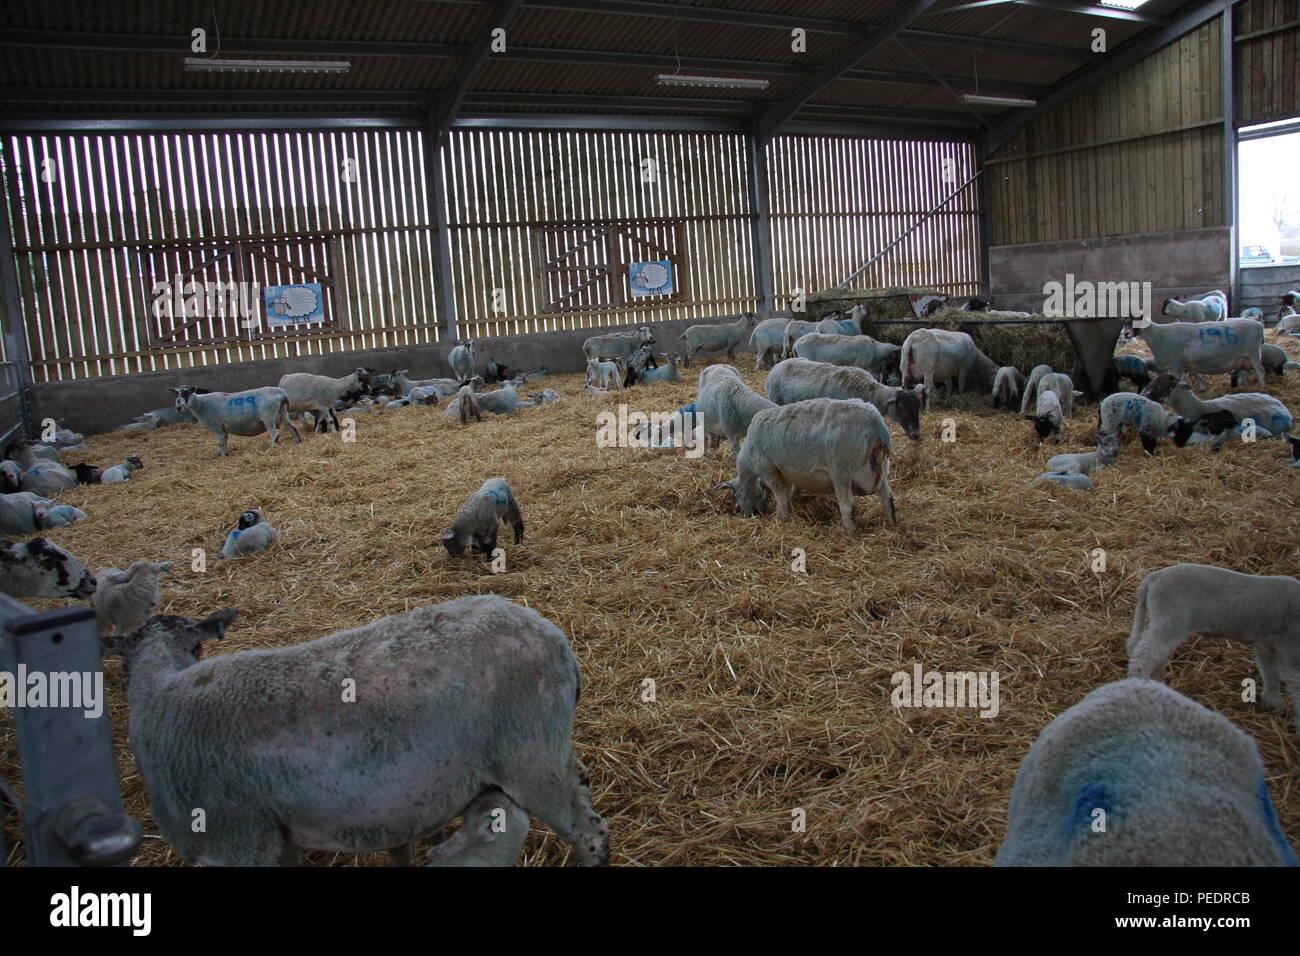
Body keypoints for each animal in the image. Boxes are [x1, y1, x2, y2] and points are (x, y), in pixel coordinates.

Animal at [98, 594, 608, 866]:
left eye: (197, 647)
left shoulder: (235, 843)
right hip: (544, 752)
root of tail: (554, 637)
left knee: (589, 830)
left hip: (531, 760)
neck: (159, 697)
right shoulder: (274, 841)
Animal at [171, 386, 302, 457]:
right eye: (176, 394)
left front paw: (223, 456)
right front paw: (226, 454)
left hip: (268, 417)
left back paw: (273, 448)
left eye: (186, 392)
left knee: (275, 434)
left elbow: (220, 442)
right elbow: (224, 440)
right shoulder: (223, 428)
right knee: (292, 428)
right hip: (283, 411)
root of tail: (281, 393)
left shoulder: (216, 426)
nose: (178, 407)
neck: (201, 404)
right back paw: (298, 443)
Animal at [716, 397, 895, 535]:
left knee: (847, 505)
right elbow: (787, 492)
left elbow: (779, 493)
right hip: (883, 467)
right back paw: (893, 523)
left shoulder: (768, 468)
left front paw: (781, 517)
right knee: (888, 498)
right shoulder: (785, 472)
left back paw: (851, 533)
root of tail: (876, 425)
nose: (748, 515)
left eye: (735, 495)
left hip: (842, 470)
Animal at [1122, 316, 1265, 390]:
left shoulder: (1176, 364)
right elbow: (1196, 374)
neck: (1160, 335)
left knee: (1260, 371)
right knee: (1245, 373)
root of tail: (1259, 325)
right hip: (1242, 358)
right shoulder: (1186, 362)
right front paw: (1202, 387)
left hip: (1253, 353)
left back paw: (1262, 387)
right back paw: (1246, 389)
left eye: (1136, 321)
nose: (1126, 334)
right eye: (1125, 322)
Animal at [1127, 564, 1300, 735]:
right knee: (1144, 656)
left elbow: (1270, 674)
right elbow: (1295, 685)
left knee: (1151, 651)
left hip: (1156, 618)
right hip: (1170, 618)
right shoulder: (1291, 649)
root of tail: (1152, 578)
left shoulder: (1266, 647)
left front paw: (1273, 704)